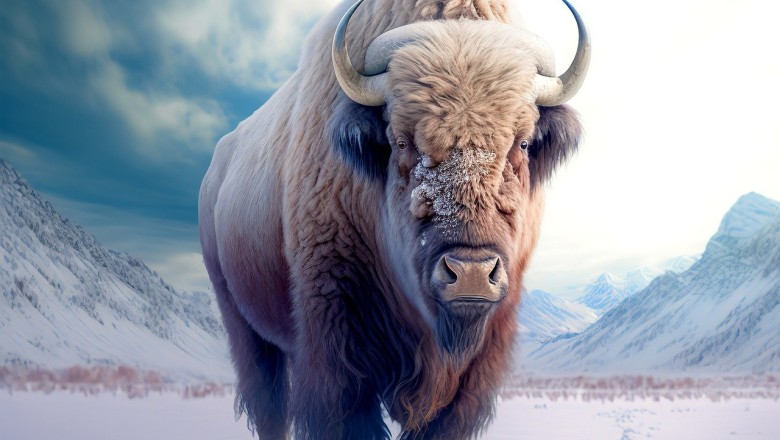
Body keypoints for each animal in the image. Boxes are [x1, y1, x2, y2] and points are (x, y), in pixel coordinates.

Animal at [198, 0, 590, 438]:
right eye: (401, 141)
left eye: (522, 143)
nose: (470, 274)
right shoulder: (336, 351)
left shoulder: (472, 376)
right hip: (244, 325)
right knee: (268, 403)